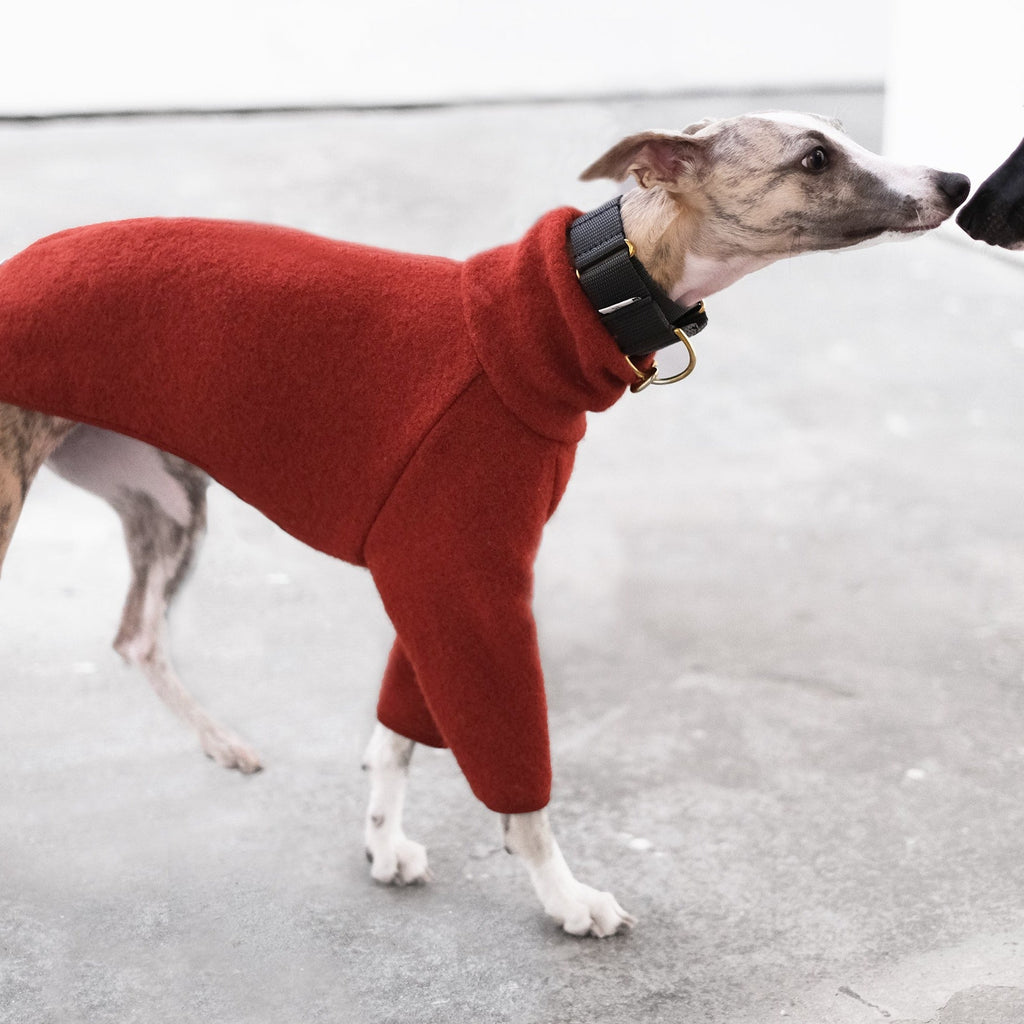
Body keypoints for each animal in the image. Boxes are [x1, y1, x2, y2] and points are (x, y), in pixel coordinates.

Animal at [0, 112, 966, 937]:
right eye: (815, 157)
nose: (956, 181)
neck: (586, 290)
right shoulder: (472, 580)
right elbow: (512, 767)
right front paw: (566, 896)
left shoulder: (434, 567)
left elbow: (399, 729)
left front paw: (383, 839)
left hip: (165, 499)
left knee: (136, 635)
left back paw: (222, 743)